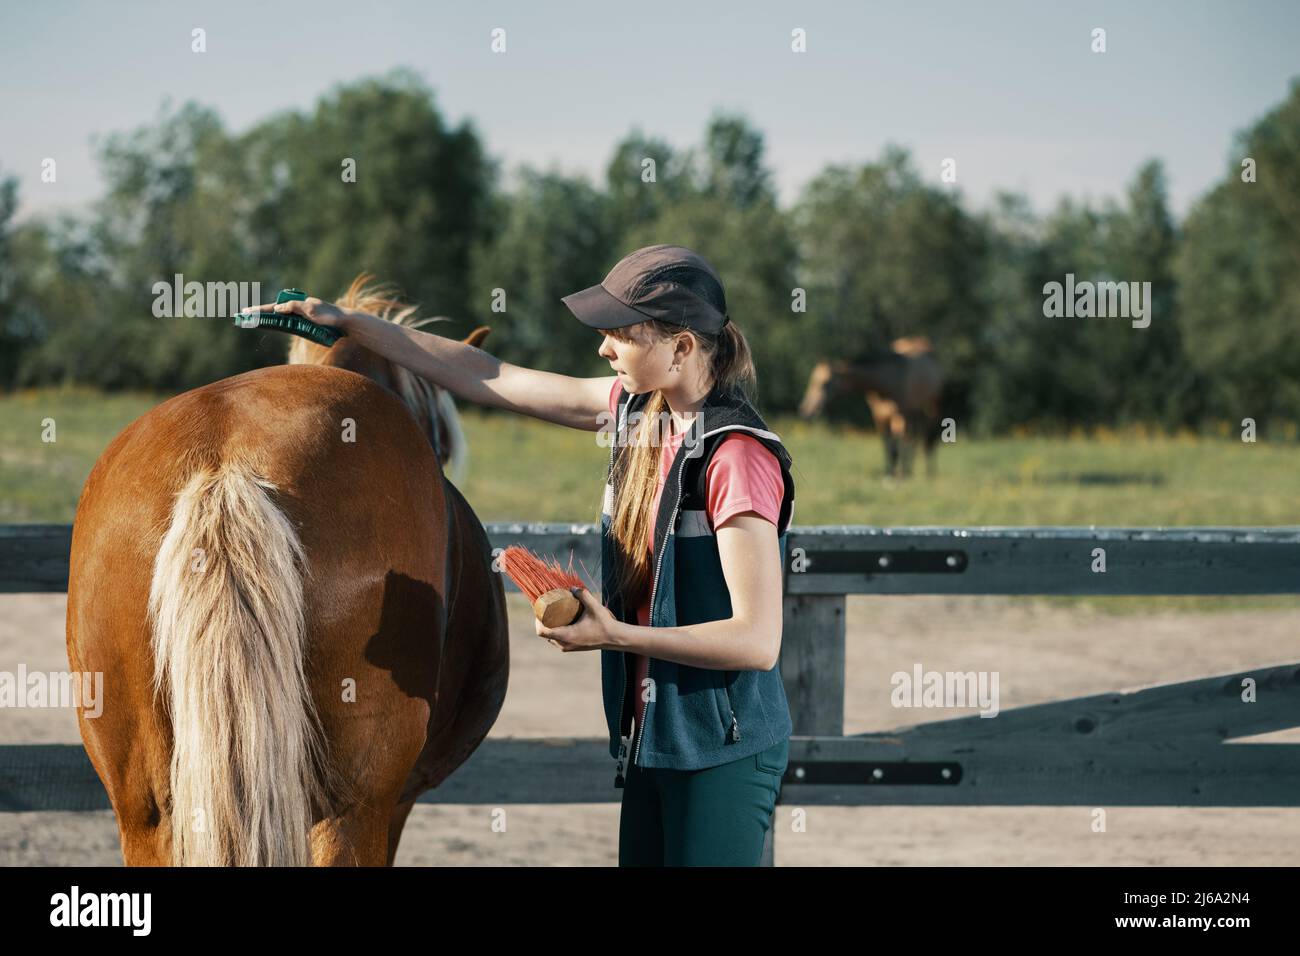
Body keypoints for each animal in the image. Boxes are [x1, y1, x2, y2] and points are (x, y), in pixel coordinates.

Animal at [795, 335, 941, 478]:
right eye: (812, 380)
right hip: (914, 412)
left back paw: (926, 472)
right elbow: (888, 446)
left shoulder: (901, 413)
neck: (886, 382)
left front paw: (901, 474)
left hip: (928, 407)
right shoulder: (879, 415)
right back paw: (909, 470)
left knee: (925, 437)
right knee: (914, 437)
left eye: (824, 383)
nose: (805, 411)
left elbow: (900, 443)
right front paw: (890, 473)